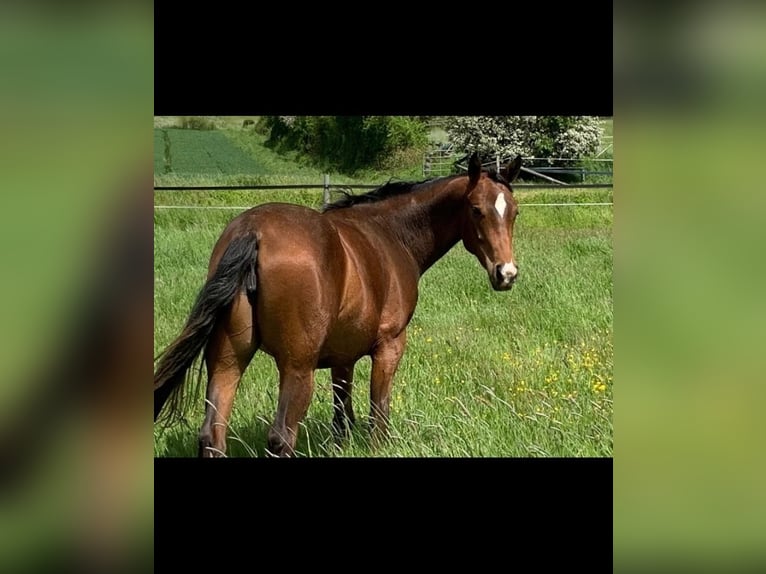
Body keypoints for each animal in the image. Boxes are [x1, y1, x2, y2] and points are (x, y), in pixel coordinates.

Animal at [153, 152, 524, 460]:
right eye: (476, 210)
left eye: (514, 212)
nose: (506, 273)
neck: (391, 233)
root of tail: (253, 232)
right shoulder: (389, 346)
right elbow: (378, 411)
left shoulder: (342, 357)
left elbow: (342, 415)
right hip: (296, 369)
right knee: (281, 437)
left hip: (227, 361)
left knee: (212, 434)